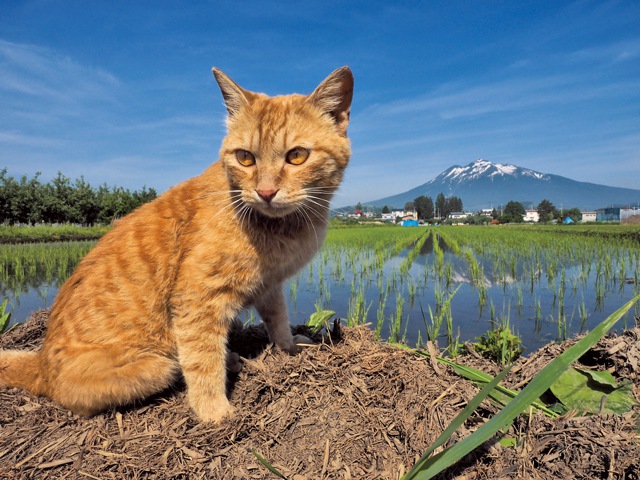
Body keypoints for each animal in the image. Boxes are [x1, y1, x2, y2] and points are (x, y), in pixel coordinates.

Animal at [0, 66, 356, 420]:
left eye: (297, 156)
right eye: (245, 158)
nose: (265, 192)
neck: (281, 227)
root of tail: (39, 364)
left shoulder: (269, 284)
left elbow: (278, 319)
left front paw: (289, 347)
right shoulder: (198, 297)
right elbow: (202, 359)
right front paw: (215, 411)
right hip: (158, 366)